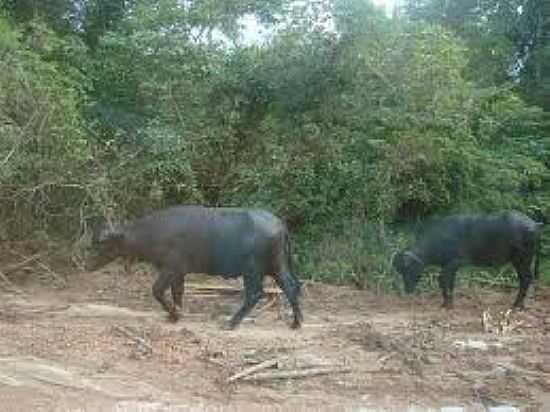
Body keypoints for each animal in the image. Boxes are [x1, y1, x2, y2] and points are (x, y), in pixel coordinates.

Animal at [85, 208, 306, 330]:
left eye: (102, 244)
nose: (86, 264)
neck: (155, 234)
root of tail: (280, 224)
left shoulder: (170, 269)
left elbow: (157, 291)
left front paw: (174, 314)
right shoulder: (179, 273)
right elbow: (178, 293)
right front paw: (174, 314)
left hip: (252, 269)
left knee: (256, 293)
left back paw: (231, 323)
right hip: (276, 266)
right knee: (290, 286)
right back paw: (296, 322)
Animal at [394, 212, 544, 308]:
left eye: (407, 269)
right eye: (400, 271)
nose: (407, 290)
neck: (440, 241)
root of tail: (535, 225)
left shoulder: (453, 263)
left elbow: (442, 280)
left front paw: (447, 304)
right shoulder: (450, 267)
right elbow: (449, 282)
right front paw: (446, 303)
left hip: (522, 259)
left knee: (526, 278)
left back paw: (517, 305)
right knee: (524, 279)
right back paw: (520, 304)